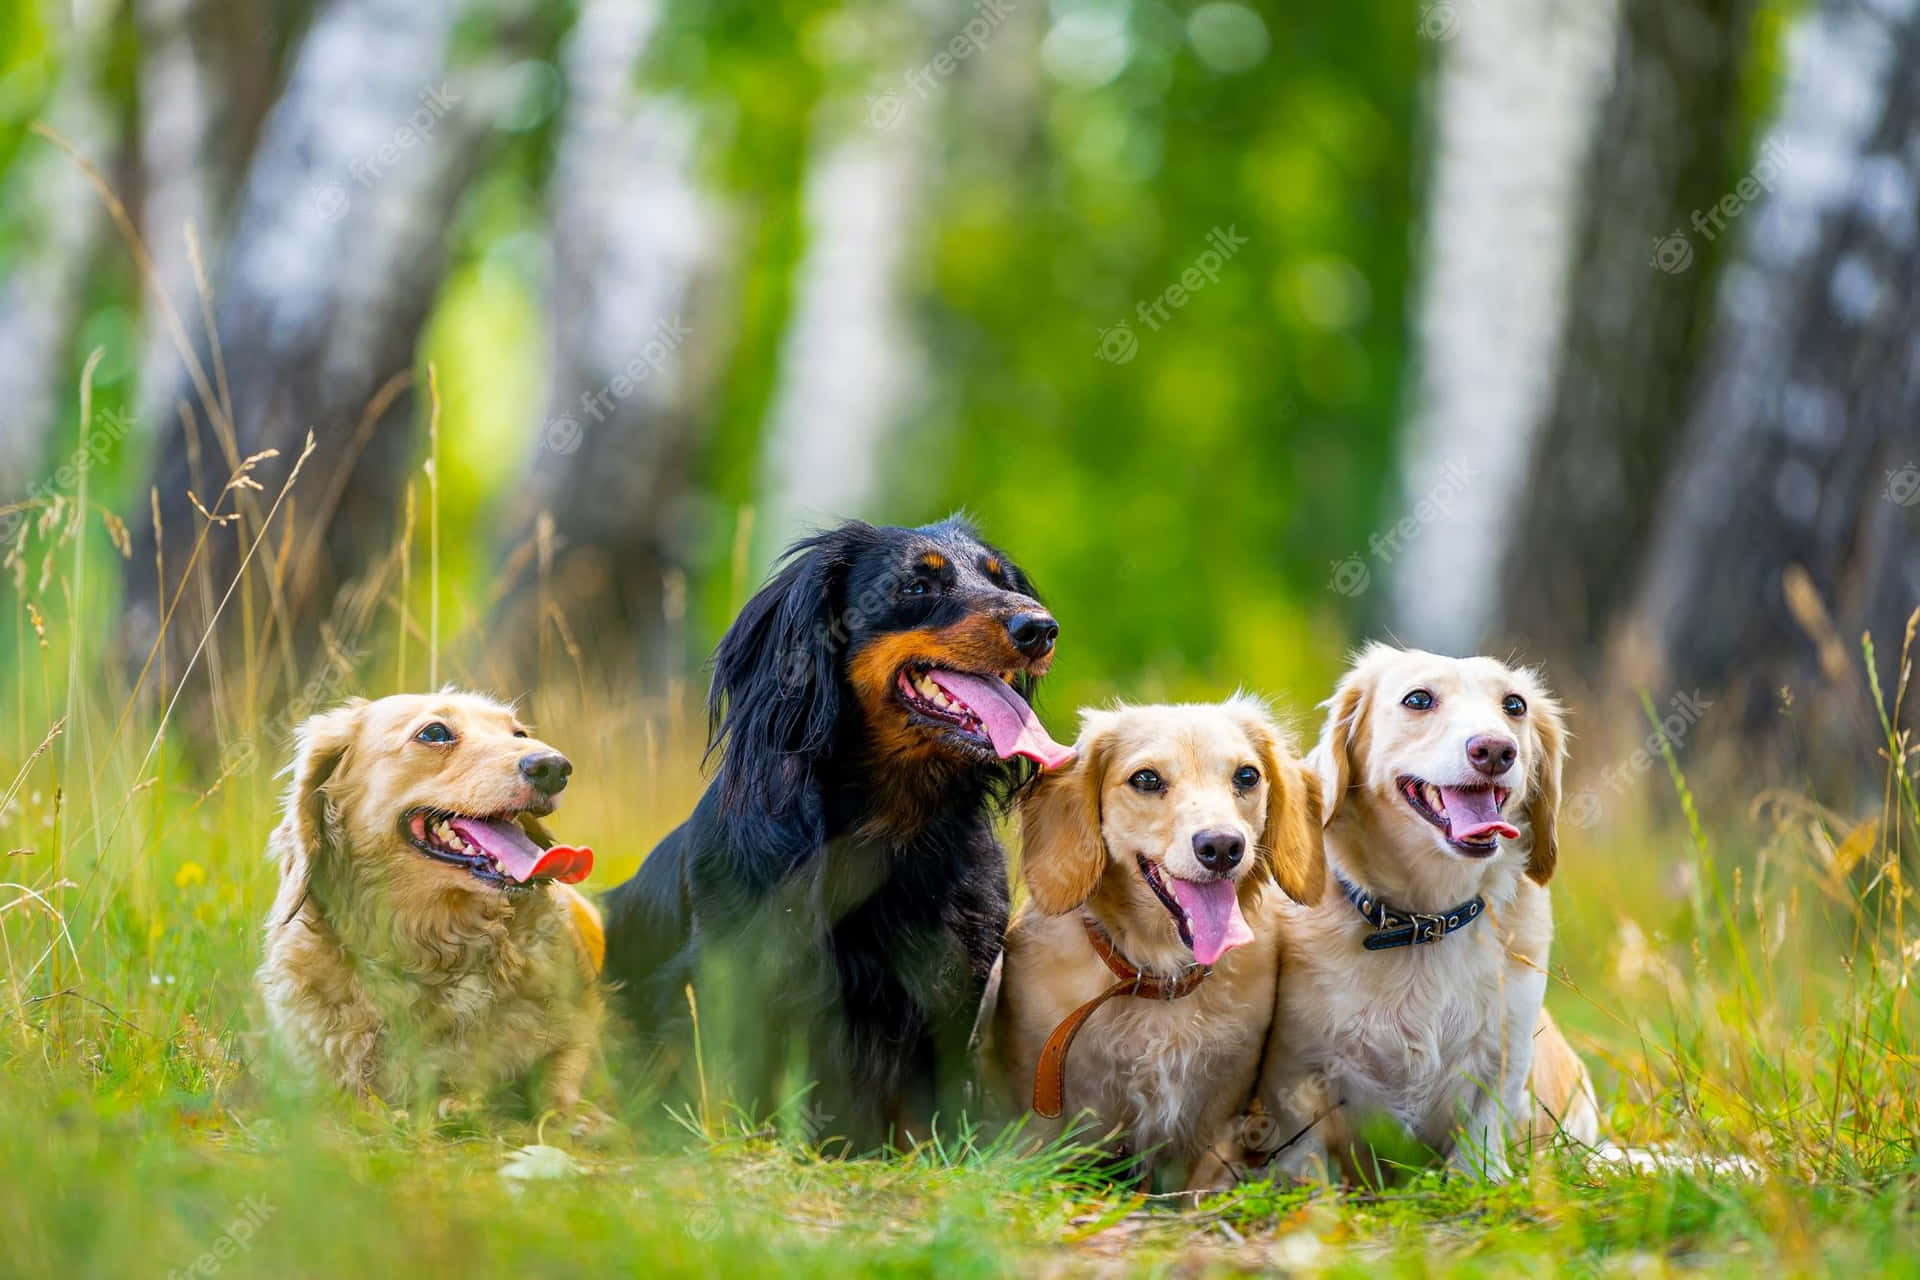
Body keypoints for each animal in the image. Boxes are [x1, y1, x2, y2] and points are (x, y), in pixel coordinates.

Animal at [255, 690, 599, 1128]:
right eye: (434, 733)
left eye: (519, 733)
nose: (553, 766)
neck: (434, 951)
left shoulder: (577, 1025)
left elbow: (561, 1070)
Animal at [983, 702, 1328, 1189]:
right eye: (1146, 779)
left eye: (1246, 775)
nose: (1222, 846)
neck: (1157, 978)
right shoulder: (1043, 1123)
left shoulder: (1211, 1124)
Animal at [1251, 644, 1597, 1189]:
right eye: (1418, 699)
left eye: (1514, 705)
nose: (1495, 750)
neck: (1423, 922)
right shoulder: (1295, 1072)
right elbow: (1303, 1155)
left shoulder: (1502, 1054)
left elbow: (1480, 1136)